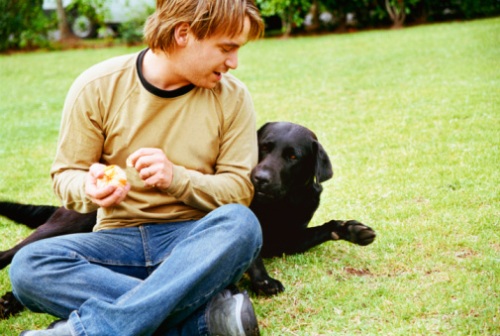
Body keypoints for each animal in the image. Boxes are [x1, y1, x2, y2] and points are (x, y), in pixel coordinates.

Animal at [0, 121, 376, 318]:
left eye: (293, 156)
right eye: (264, 148)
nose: (259, 178)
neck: (278, 204)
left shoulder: (289, 238)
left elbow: (324, 229)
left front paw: (352, 230)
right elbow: (252, 251)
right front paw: (263, 282)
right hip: (68, 224)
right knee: (16, 255)